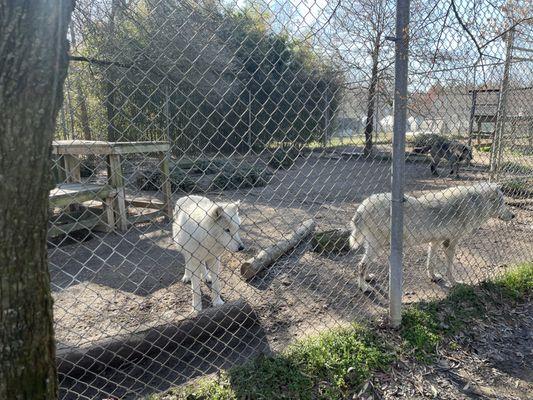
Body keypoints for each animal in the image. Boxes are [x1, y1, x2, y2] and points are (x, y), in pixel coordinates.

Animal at [350, 183, 516, 292]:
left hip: (375, 246)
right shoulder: (450, 243)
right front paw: (454, 282)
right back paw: (363, 287)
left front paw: (433, 277)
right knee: (361, 265)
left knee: (363, 264)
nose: (514, 215)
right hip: (377, 247)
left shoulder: (435, 241)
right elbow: (449, 268)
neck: (475, 204)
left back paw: (367, 278)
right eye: (503, 203)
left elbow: (431, 262)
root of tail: (363, 206)